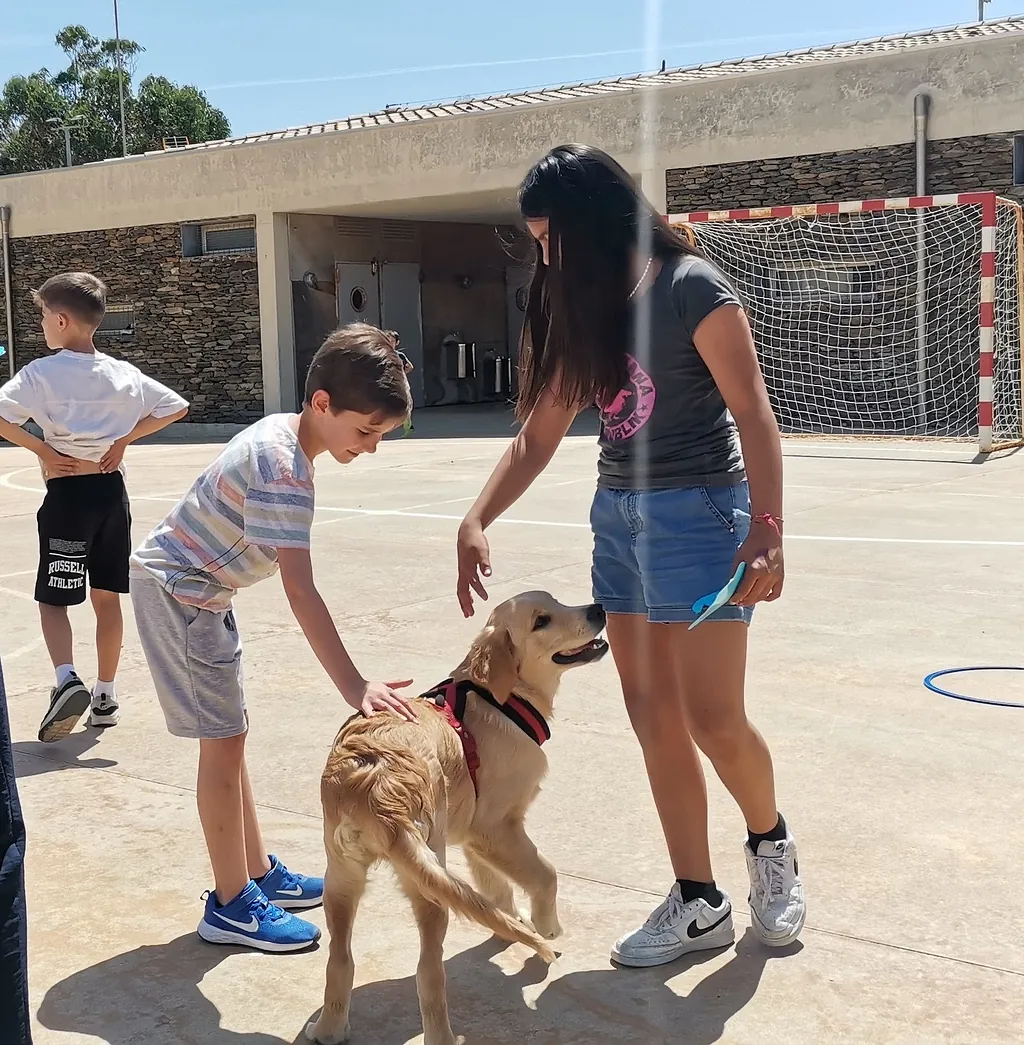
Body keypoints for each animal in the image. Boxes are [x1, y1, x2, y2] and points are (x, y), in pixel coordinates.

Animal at [303, 593, 606, 1040]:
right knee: (428, 972)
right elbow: (545, 873)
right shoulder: (496, 827)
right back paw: (443, 1035)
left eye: (557, 601)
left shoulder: (475, 836)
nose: (599, 609)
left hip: (342, 879)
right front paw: (544, 926)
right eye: (542, 620)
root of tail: (376, 781)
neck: (501, 696)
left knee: (340, 959)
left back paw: (328, 1029)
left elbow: (494, 885)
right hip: (429, 880)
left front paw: (510, 924)